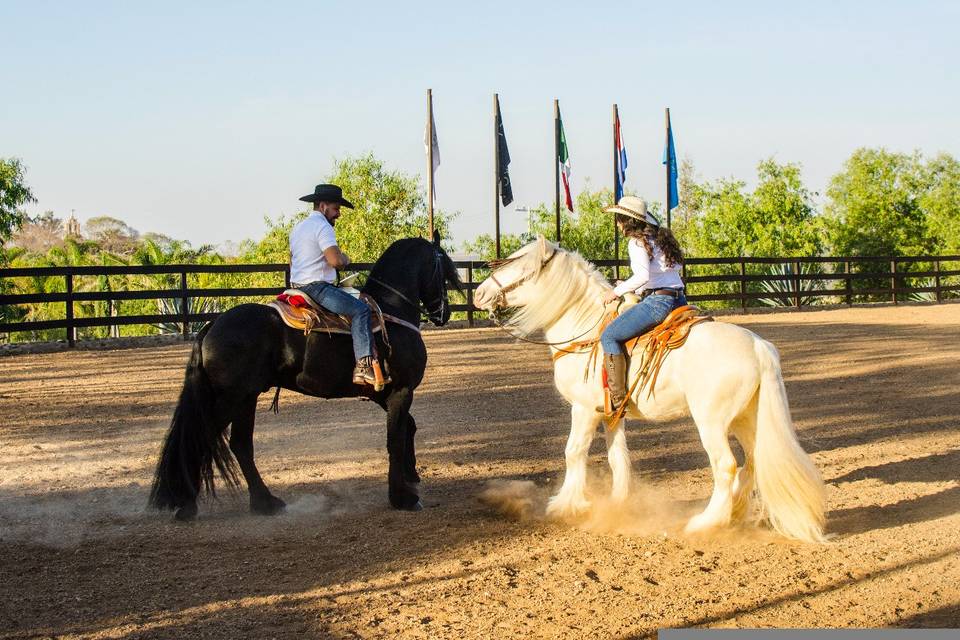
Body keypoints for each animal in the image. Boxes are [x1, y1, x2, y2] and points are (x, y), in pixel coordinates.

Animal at [148, 231, 464, 520]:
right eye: (444, 269)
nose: (444, 314)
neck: (390, 311)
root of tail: (212, 325)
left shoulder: (383, 393)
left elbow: (408, 427)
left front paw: (411, 477)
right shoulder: (401, 390)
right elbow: (395, 439)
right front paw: (402, 498)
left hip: (245, 399)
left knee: (240, 445)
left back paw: (265, 503)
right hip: (232, 399)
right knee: (204, 438)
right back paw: (189, 505)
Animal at [472, 238, 824, 544]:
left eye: (516, 263)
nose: (479, 292)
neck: (586, 329)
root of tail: (757, 345)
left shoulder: (583, 409)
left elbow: (574, 451)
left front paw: (563, 505)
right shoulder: (611, 414)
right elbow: (618, 458)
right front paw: (617, 504)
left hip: (712, 423)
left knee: (725, 466)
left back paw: (706, 523)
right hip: (745, 418)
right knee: (752, 461)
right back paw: (734, 515)